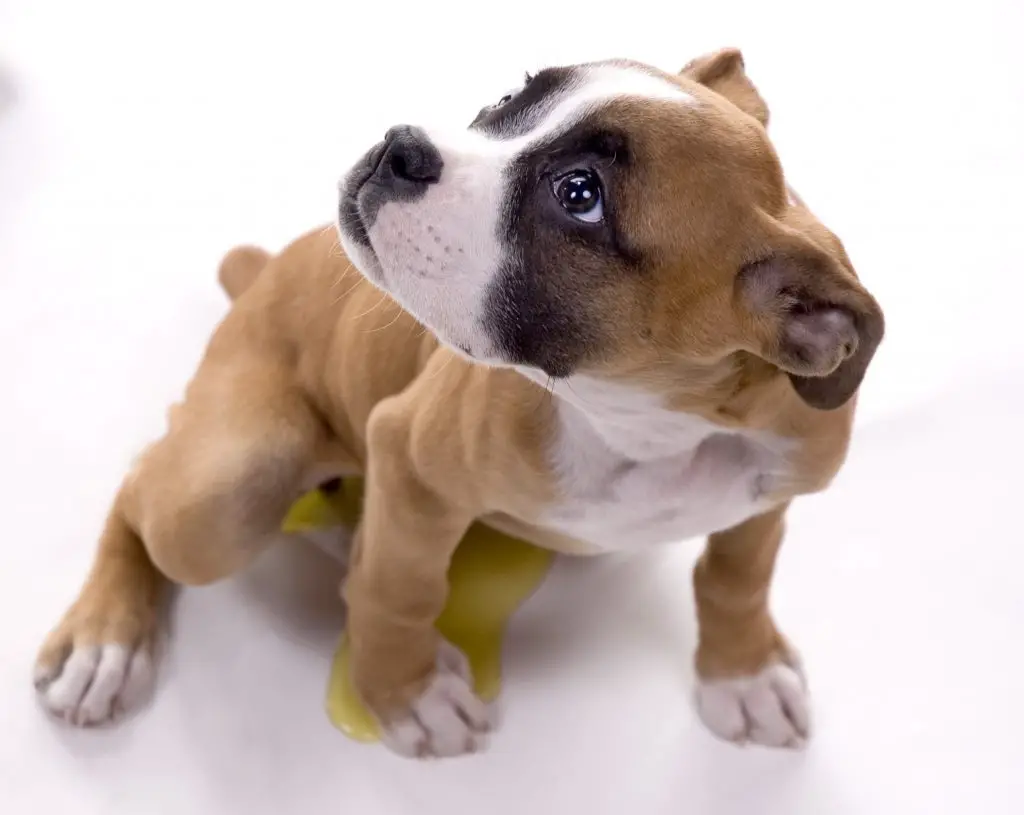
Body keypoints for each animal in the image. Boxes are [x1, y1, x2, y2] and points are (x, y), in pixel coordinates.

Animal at [32, 49, 880, 757]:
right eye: (511, 94)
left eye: (581, 195)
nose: (400, 146)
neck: (641, 421)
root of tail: (263, 274)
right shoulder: (408, 456)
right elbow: (399, 587)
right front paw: (406, 693)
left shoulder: (770, 495)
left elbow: (737, 576)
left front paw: (743, 671)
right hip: (225, 490)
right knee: (143, 486)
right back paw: (102, 643)